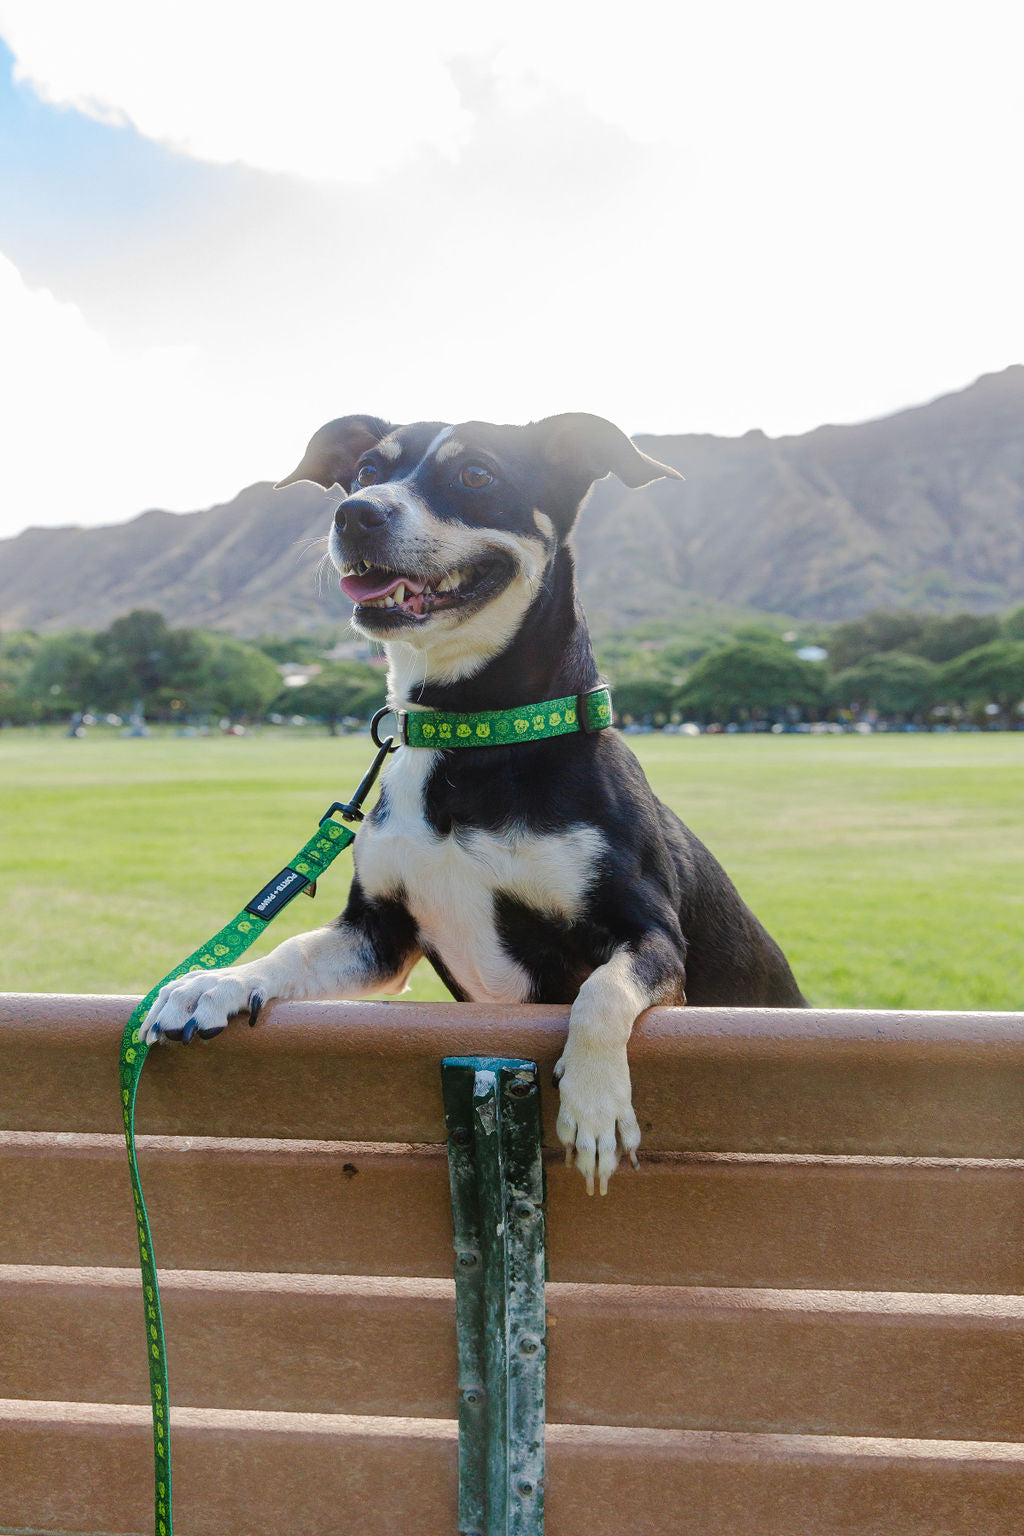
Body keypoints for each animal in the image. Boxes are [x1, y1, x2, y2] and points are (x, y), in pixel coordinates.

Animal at [140, 414, 804, 1191]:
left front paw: (596, 1103)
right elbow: (293, 948)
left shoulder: (654, 936)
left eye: (477, 475)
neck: (472, 731)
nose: (355, 514)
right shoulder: (378, 933)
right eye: (366, 471)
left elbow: (600, 993)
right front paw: (217, 980)